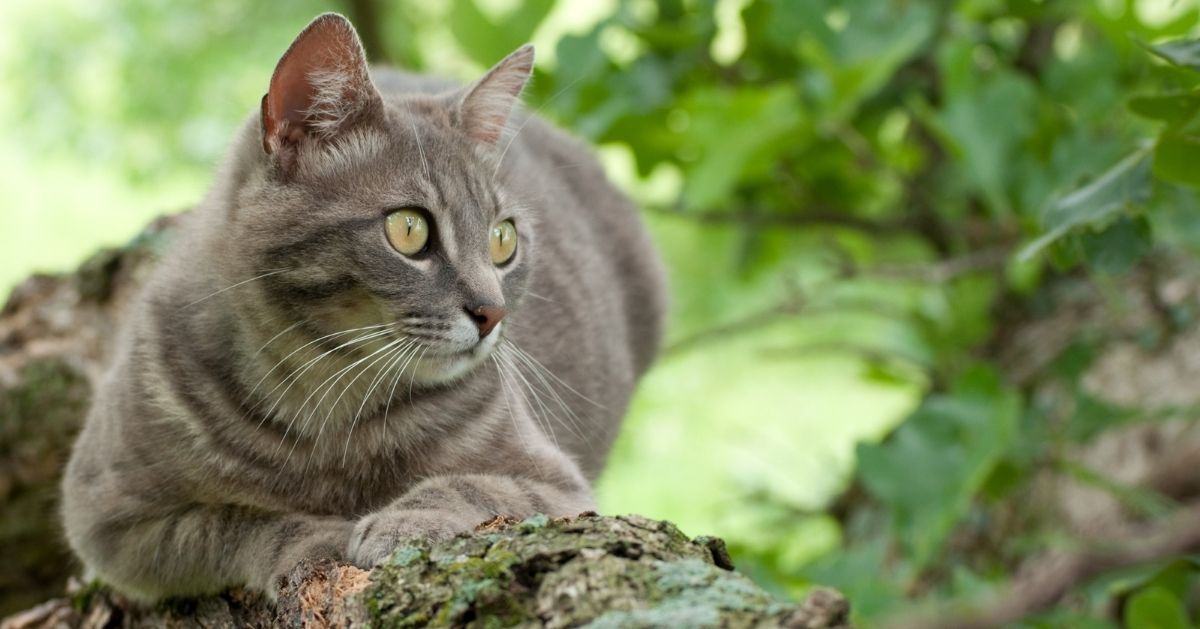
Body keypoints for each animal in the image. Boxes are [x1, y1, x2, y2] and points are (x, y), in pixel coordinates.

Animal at [60, 11, 667, 600]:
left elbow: (475, 485)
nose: (492, 313)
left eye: (503, 239)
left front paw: (404, 520)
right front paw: (316, 536)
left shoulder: (555, 480)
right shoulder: (106, 515)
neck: (327, 395)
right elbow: (231, 522)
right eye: (409, 229)